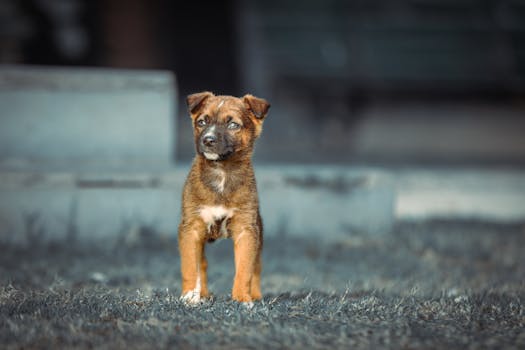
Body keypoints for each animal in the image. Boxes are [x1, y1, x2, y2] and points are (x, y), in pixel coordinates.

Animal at [179, 91, 270, 304]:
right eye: (202, 122)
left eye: (233, 125)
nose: (208, 140)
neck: (221, 172)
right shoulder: (191, 229)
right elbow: (190, 267)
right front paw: (189, 296)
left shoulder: (246, 230)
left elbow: (245, 269)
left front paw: (242, 298)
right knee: (201, 265)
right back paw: (201, 294)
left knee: (257, 267)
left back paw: (256, 295)